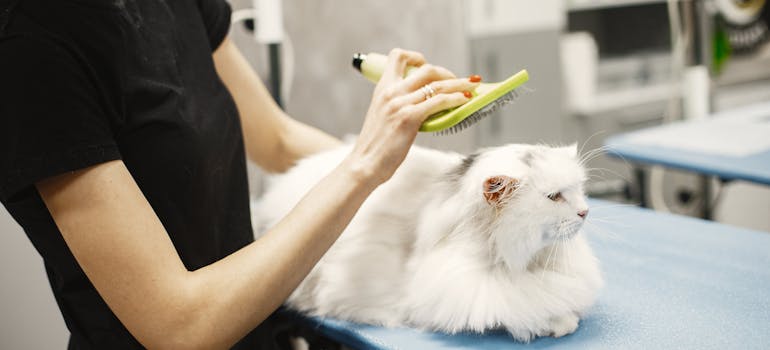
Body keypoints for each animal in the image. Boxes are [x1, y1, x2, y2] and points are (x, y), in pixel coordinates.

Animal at [255, 142, 604, 342]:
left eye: (578, 189)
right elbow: (524, 307)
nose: (585, 211)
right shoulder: (464, 291)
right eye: (554, 197)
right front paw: (559, 322)